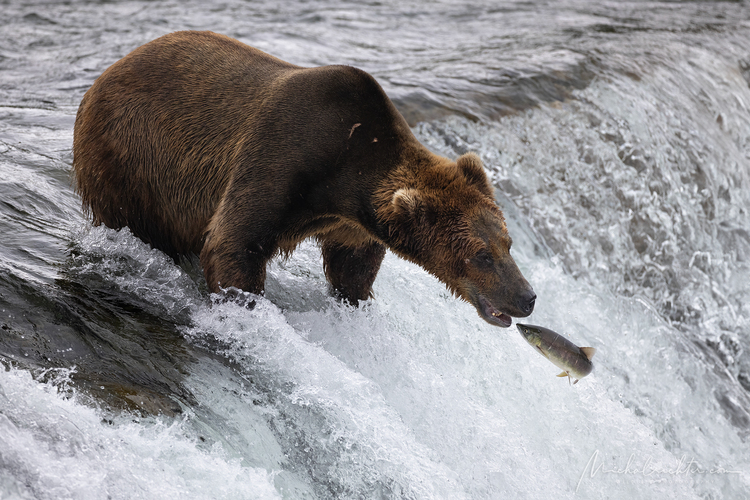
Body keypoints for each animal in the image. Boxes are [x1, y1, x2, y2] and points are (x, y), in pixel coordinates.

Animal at [73, 31, 536, 328]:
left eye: (507, 243)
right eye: (481, 255)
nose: (527, 297)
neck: (345, 180)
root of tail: (101, 78)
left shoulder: (349, 221)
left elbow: (353, 266)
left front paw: (354, 297)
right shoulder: (282, 156)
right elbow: (234, 241)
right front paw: (248, 308)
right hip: (130, 157)